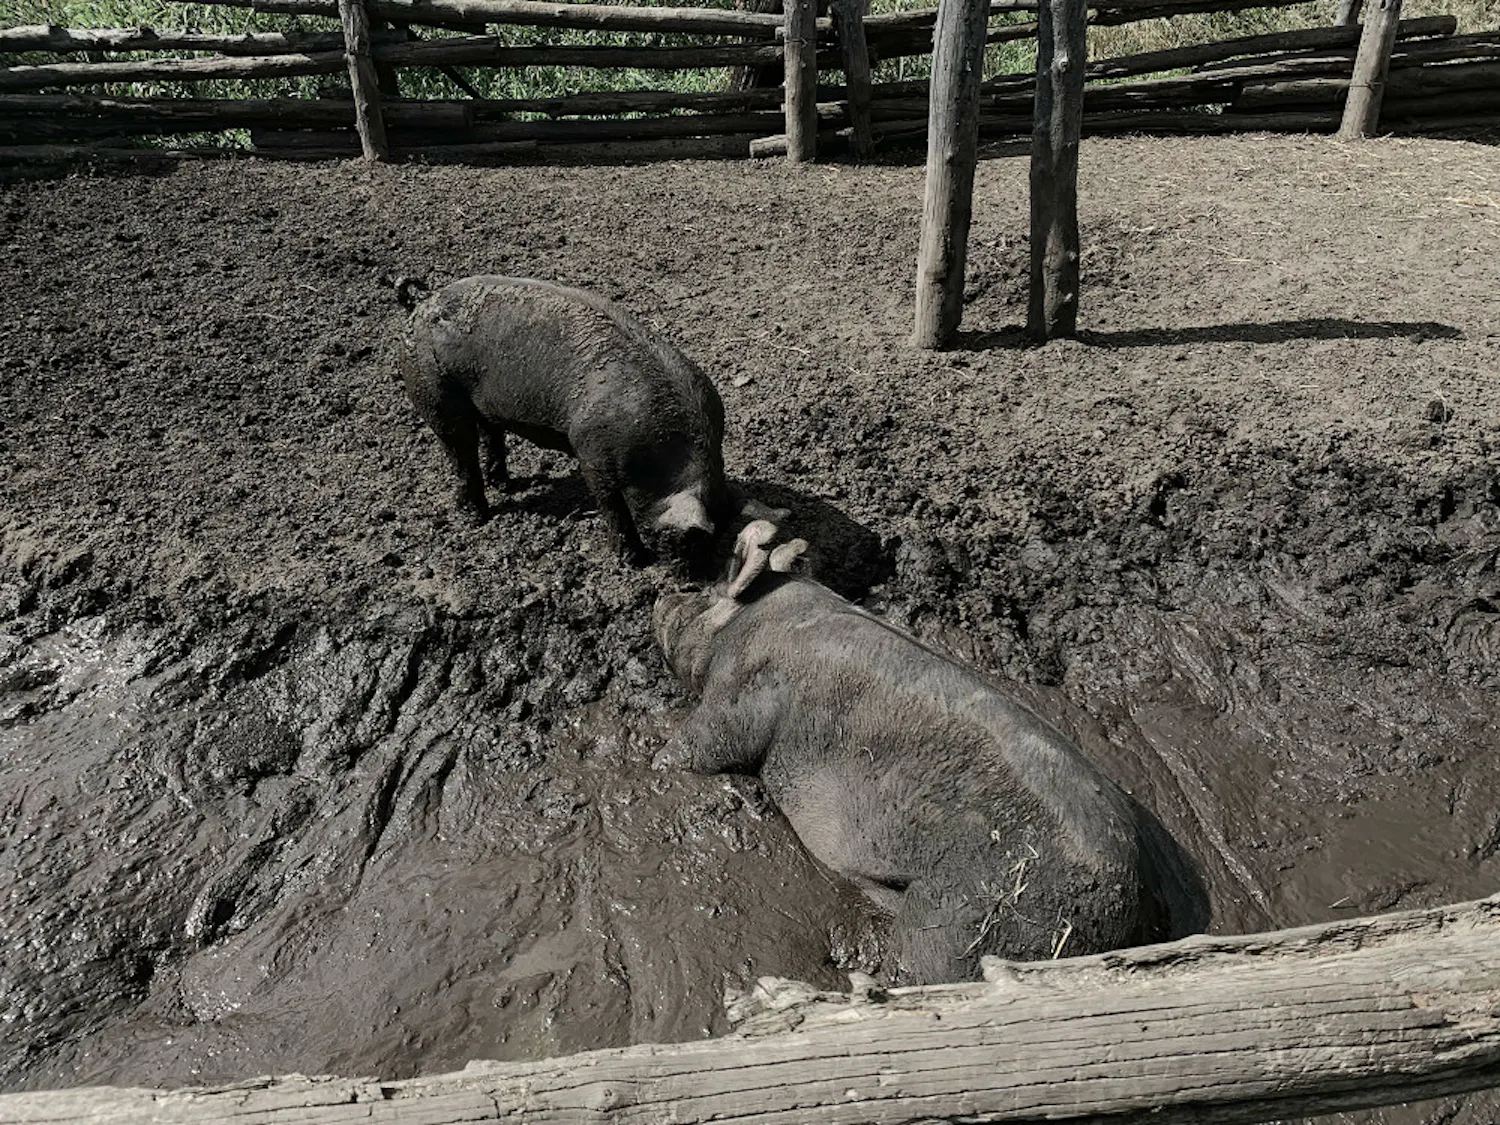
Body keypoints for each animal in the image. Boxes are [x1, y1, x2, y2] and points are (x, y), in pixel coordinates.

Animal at [399, 276, 730, 563]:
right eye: (686, 539)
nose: (693, 578)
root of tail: (423, 300)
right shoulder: (591, 454)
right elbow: (613, 508)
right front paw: (630, 560)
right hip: (435, 395)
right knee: (460, 452)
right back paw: (478, 516)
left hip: (483, 406)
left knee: (491, 435)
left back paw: (504, 484)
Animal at [654, 522, 1201, 984]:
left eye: (701, 593)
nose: (661, 595)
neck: (755, 620)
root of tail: (1127, 900)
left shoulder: (743, 694)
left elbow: (707, 745)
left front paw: (662, 760)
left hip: (964, 918)